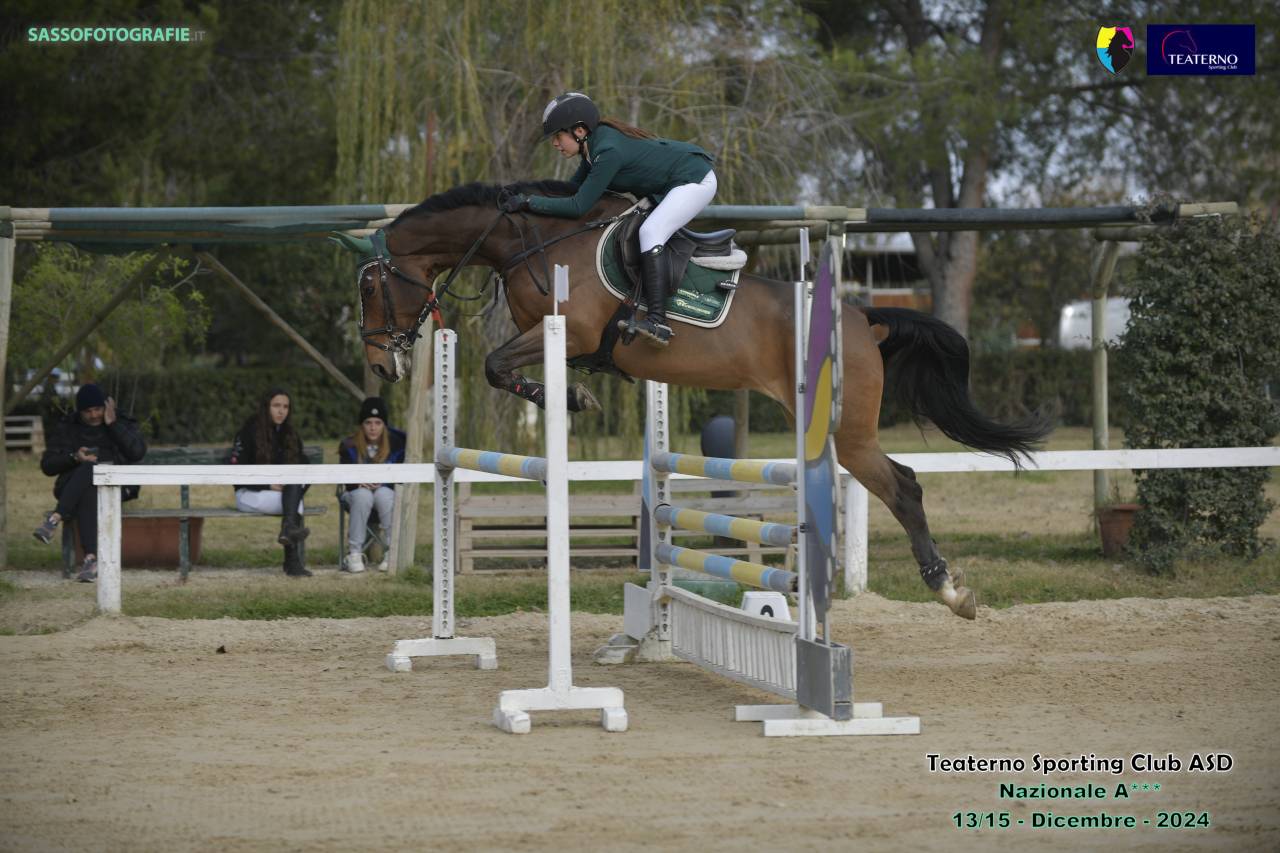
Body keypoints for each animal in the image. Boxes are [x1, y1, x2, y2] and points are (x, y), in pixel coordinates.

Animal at [336, 180, 1050, 619]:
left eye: (370, 288)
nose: (380, 362)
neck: (531, 242)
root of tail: (861, 318)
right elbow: (497, 366)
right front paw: (570, 395)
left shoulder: (572, 332)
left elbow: (494, 364)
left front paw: (570, 397)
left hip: (847, 429)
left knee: (903, 486)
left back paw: (949, 591)